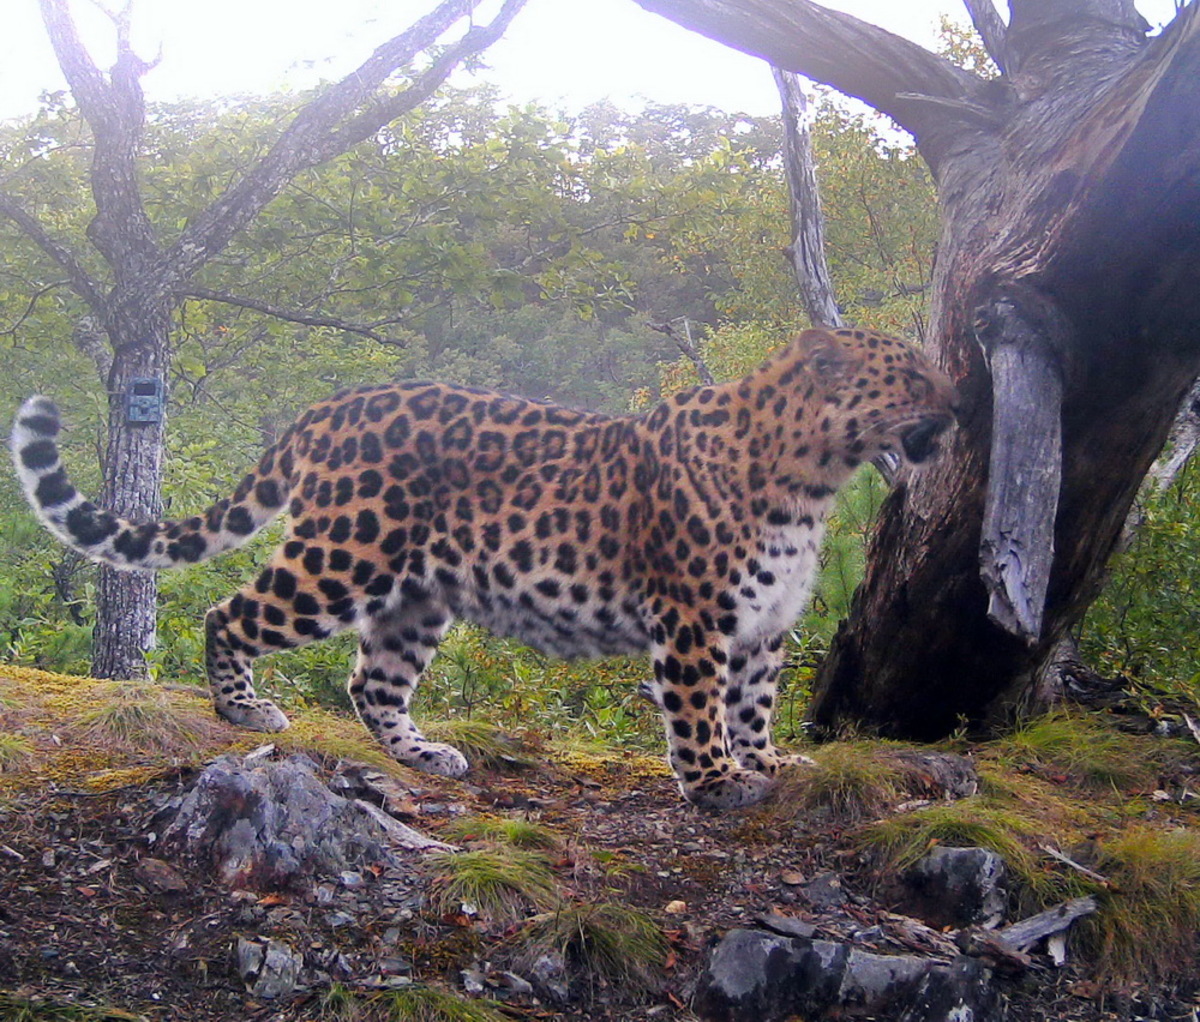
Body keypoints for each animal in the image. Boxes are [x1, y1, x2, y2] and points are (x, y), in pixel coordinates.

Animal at [14, 331, 955, 810]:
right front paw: (719, 783)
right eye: (912, 375)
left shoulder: (765, 625)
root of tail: (331, 406)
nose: (959, 406)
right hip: (345, 555)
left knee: (371, 682)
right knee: (229, 613)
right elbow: (698, 710)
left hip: (417, 593)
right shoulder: (695, 618)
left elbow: (754, 706)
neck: (816, 479)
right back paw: (243, 709)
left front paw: (769, 765)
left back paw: (425, 754)